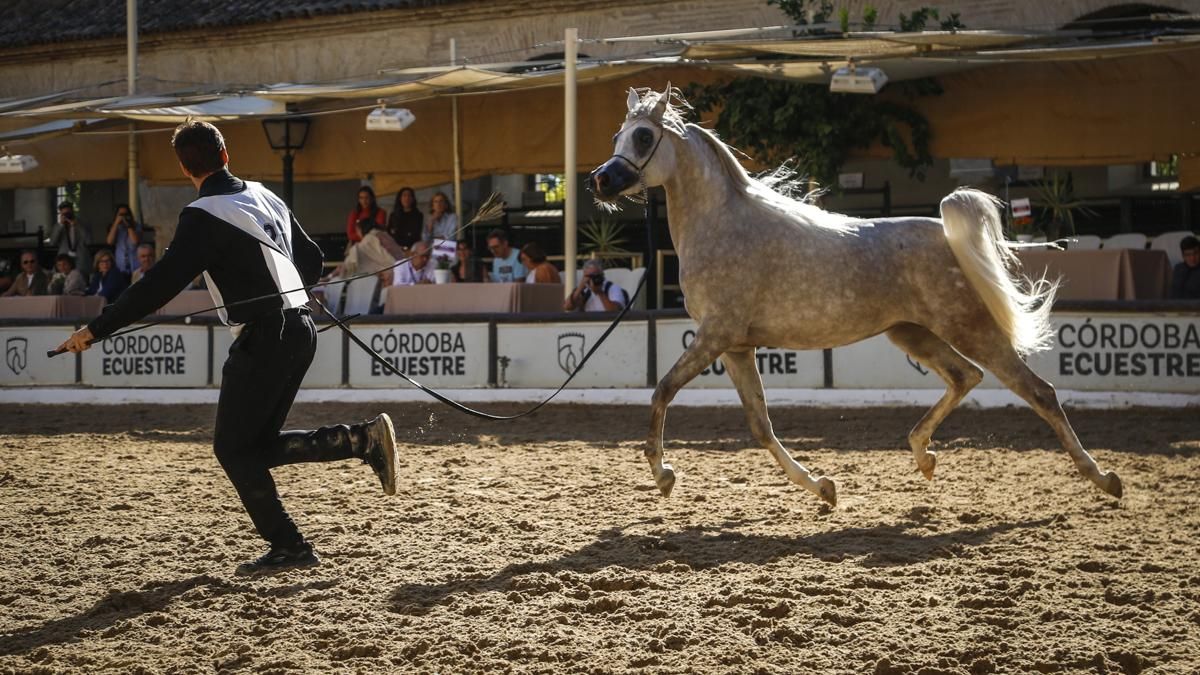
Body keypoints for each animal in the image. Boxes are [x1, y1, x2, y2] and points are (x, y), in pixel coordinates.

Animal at [589, 86, 1122, 507]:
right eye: (616, 137)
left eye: (643, 137)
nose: (601, 179)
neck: (724, 225)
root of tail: (945, 235)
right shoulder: (737, 346)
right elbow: (761, 425)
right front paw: (824, 488)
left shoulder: (715, 335)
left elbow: (662, 390)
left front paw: (663, 475)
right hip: (912, 334)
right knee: (965, 376)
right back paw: (923, 456)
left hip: (968, 327)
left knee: (1038, 390)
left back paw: (1104, 479)